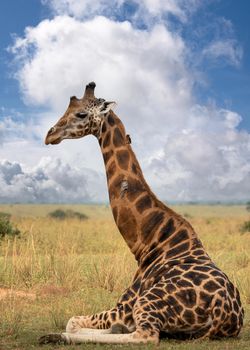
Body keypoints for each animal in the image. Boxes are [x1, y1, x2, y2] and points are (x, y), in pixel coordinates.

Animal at [39, 81, 244, 344]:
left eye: (81, 114)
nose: (50, 134)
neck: (147, 243)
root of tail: (223, 314)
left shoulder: (123, 307)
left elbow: (72, 321)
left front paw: (61, 334)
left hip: (146, 302)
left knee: (144, 336)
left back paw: (57, 336)